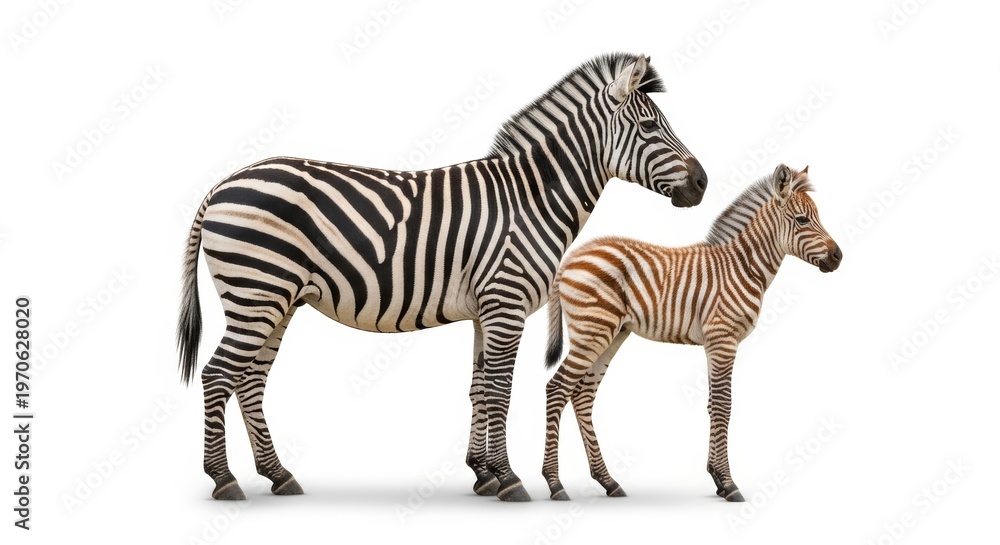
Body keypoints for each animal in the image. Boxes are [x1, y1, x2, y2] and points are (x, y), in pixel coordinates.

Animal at [176, 53, 708, 502]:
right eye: (648, 126)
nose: (702, 183)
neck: (532, 199)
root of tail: (222, 185)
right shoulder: (506, 302)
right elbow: (500, 389)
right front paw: (510, 479)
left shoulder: (485, 310)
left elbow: (479, 387)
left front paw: (483, 473)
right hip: (258, 292)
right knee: (217, 374)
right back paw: (224, 481)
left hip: (276, 300)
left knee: (249, 380)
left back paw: (279, 475)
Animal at [541, 164, 842, 501]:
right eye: (802, 220)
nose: (838, 257)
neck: (743, 267)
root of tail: (569, 259)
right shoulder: (724, 339)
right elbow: (724, 405)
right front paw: (729, 483)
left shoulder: (714, 343)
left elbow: (713, 404)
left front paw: (717, 479)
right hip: (592, 330)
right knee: (556, 388)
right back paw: (555, 483)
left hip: (611, 334)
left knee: (582, 395)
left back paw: (608, 481)